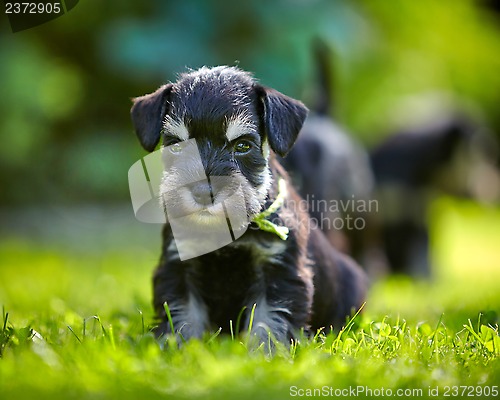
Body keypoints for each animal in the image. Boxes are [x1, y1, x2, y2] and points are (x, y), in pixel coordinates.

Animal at [130, 66, 368, 344]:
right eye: (177, 146)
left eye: (243, 145)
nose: (203, 193)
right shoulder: (178, 267)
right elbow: (183, 315)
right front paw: (179, 348)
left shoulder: (279, 269)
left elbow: (270, 320)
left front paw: (266, 351)